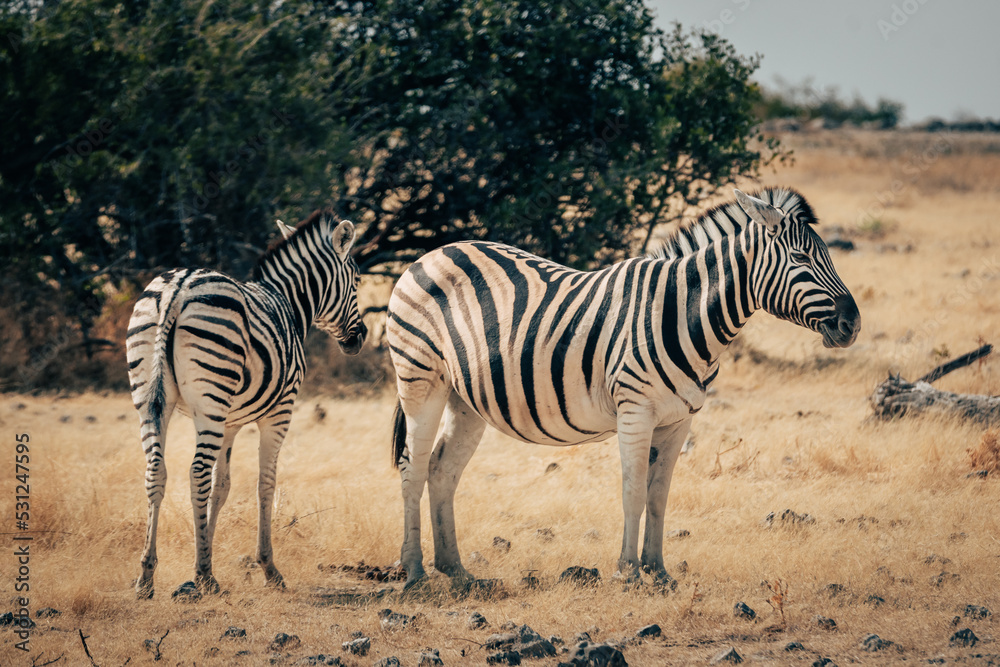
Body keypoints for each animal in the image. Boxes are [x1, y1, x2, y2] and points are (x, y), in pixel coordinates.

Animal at [126, 209, 367, 599]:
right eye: (357, 280)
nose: (358, 340)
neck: (290, 305)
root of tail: (177, 288)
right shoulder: (279, 411)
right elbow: (265, 483)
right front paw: (268, 568)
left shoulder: (231, 421)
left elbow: (221, 487)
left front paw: (206, 546)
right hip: (211, 395)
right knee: (196, 473)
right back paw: (206, 575)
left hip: (149, 398)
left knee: (155, 471)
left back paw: (146, 576)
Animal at [386, 187, 860, 589]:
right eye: (800, 257)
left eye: (829, 256)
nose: (852, 324)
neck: (683, 314)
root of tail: (432, 253)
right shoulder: (636, 410)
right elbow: (633, 491)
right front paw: (628, 572)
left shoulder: (679, 421)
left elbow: (659, 496)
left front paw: (659, 571)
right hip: (421, 379)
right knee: (412, 467)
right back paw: (414, 572)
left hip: (465, 400)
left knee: (442, 470)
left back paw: (456, 570)